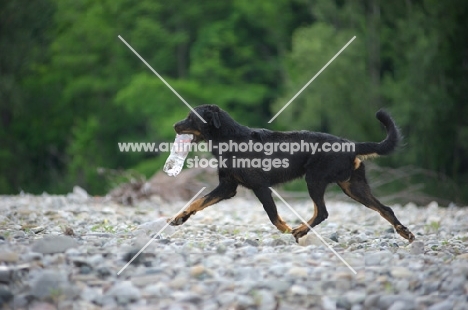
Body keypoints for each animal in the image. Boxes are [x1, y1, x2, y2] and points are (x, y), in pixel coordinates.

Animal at [167, 105, 414, 243]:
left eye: (191, 117)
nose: (175, 126)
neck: (229, 138)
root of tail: (351, 145)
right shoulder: (227, 187)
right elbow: (198, 201)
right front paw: (180, 217)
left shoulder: (260, 187)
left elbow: (273, 216)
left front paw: (285, 230)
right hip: (354, 187)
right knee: (385, 209)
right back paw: (405, 233)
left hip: (314, 179)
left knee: (322, 212)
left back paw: (299, 231)